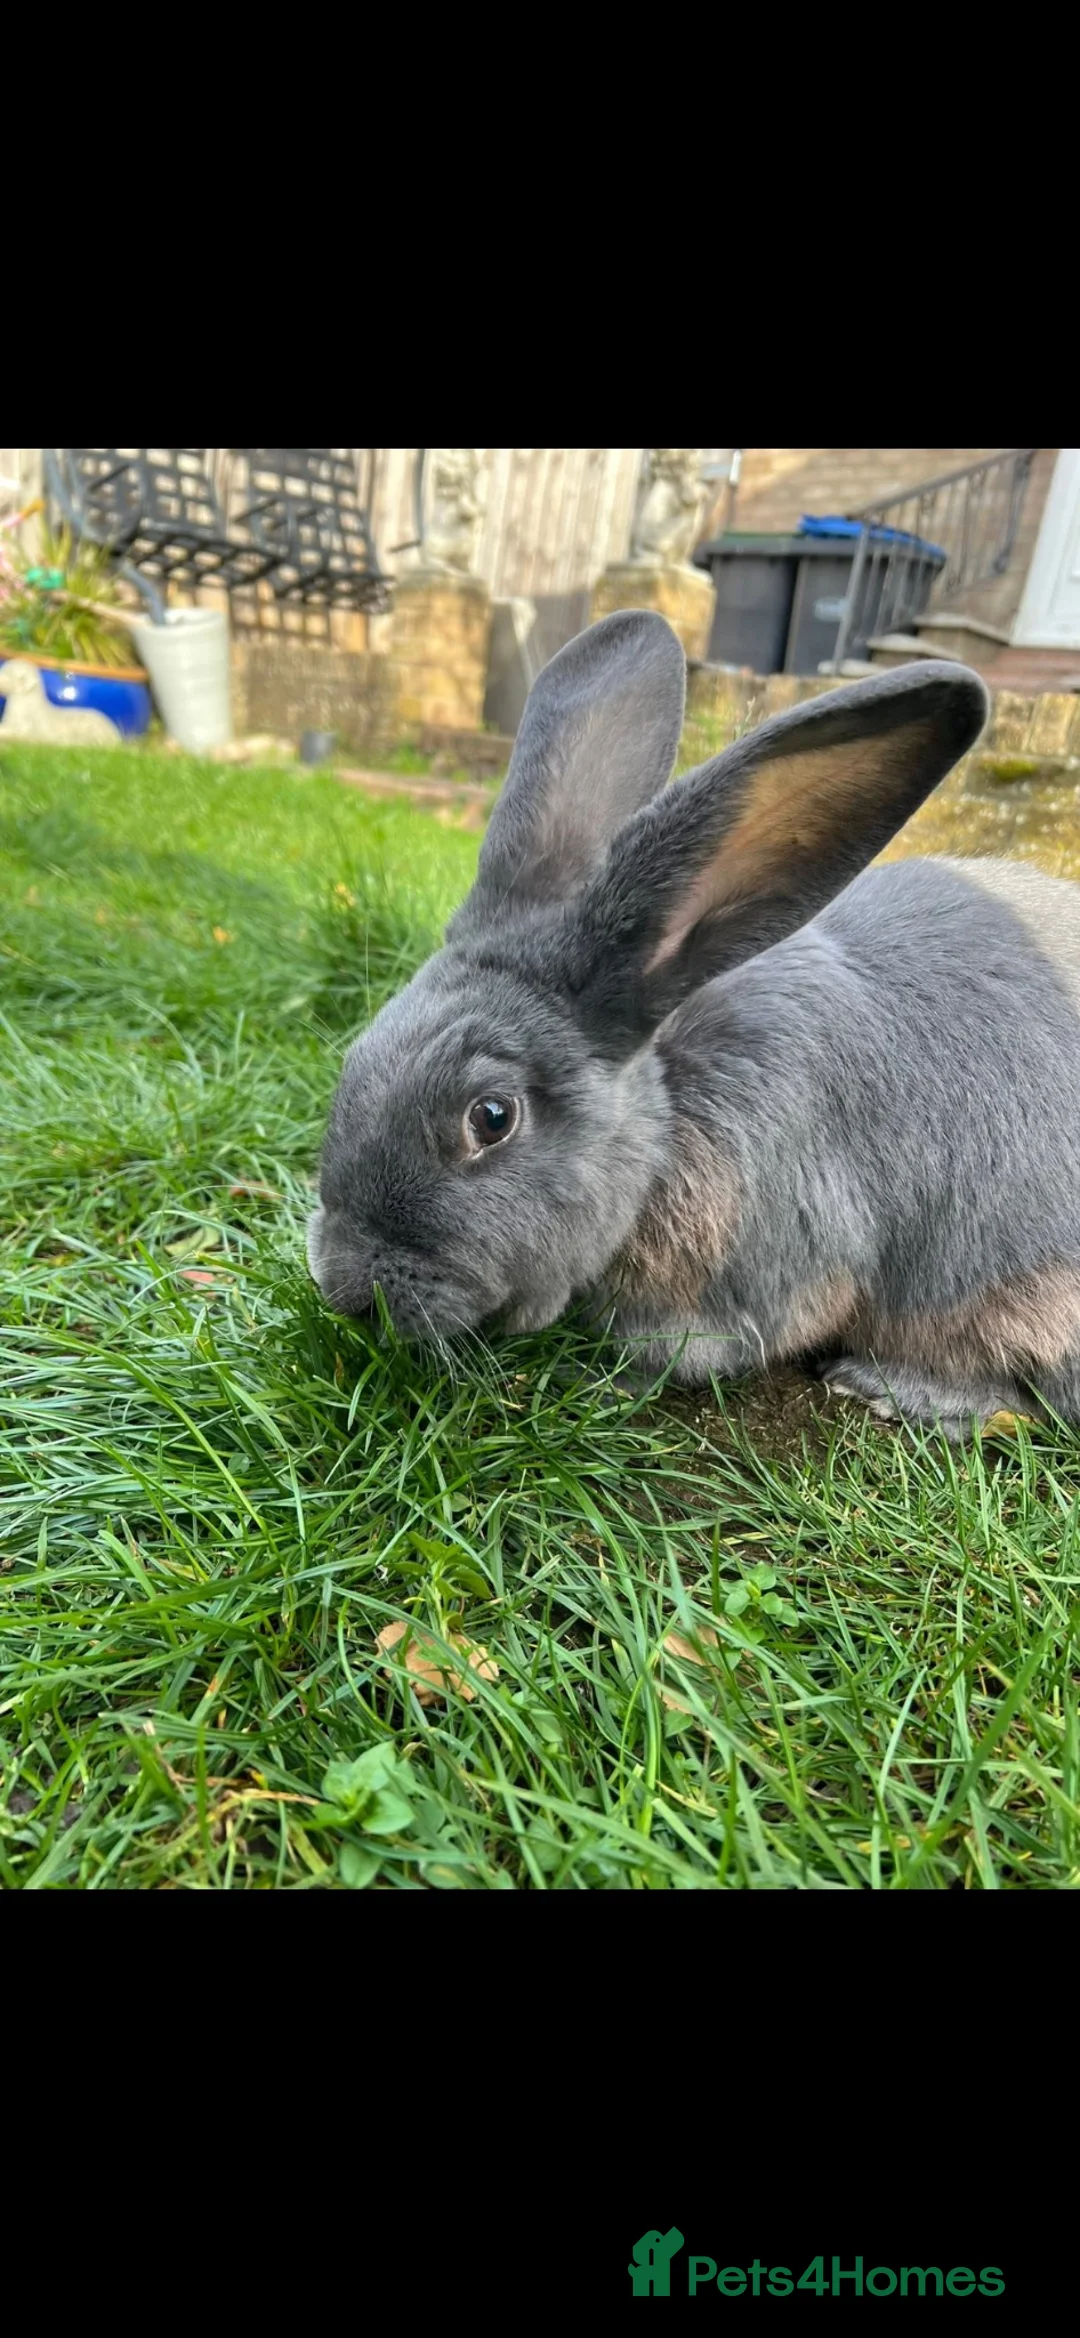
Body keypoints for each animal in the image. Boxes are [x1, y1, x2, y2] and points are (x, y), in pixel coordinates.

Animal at [308, 609, 1080, 1440]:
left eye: (490, 1117)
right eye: (355, 1058)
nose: (344, 1286)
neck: (668, 1119)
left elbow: (684, 1351)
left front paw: (595, 1379)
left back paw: (891, 1387)